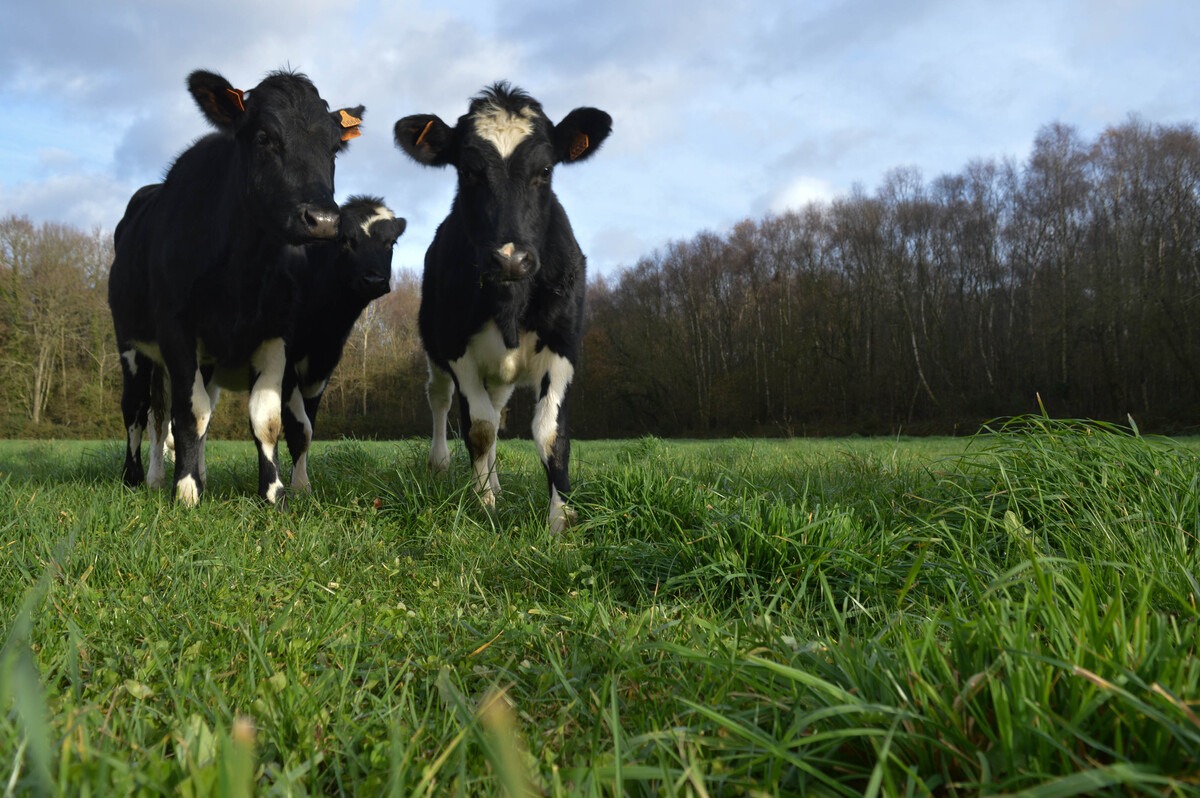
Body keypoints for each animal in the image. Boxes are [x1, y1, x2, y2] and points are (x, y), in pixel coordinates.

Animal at [109, 66, 362, 504]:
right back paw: (138, 476)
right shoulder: (176, 327)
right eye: (264, 137)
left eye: (333, 149)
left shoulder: (277, 333)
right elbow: (188, 414)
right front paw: (186, 490)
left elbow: (266, 419)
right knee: (138, 411)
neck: (241, 273)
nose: (324, 221)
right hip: (131, 343)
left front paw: (274, 492)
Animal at [393, 81, 614, 532]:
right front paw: (483, 506)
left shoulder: (564, 346)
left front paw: (560, 519)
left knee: (498, 411)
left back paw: (494, 481)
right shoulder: (456, 348)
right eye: (468, 171)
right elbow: (478, 429)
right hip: (435, 352)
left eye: (545, 170)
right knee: (443, 400)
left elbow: (549, 433)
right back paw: (443, 465)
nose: (510, 259)